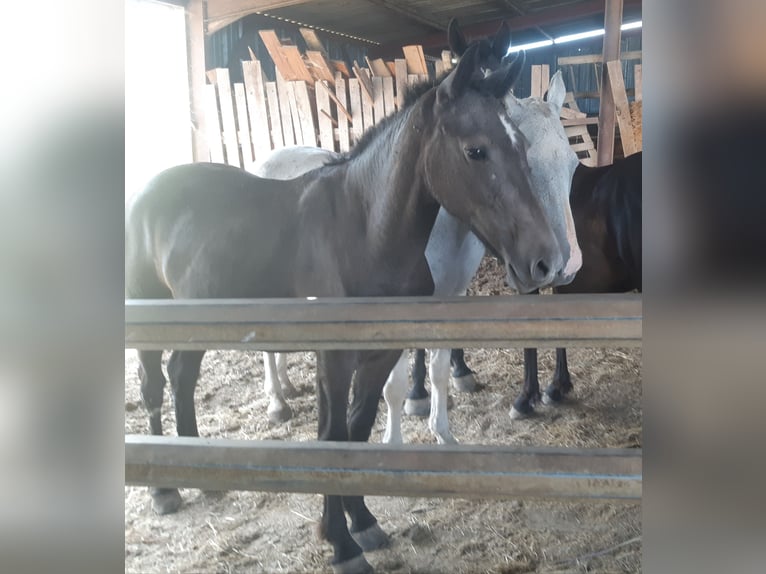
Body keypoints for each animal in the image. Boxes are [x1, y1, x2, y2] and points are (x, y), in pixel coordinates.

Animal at [255, 69, 581, 444]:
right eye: (530, 161)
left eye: (573, 163)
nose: (562, 264)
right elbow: (394, 385)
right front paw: (404, 422)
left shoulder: (451, 296)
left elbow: (438, 370)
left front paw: (443, 430)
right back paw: (277, 402)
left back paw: (287, 386)